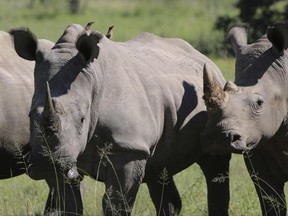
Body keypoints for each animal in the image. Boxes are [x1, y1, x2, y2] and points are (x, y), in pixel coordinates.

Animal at [11, 23, 231, 216]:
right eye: (29, 116)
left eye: (82, 119)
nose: (46, 165)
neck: (94, 80)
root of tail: (203, 57)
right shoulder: (68, 157)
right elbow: (69, 206)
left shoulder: (129, 149)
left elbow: (116, 204)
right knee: (160, 169)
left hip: (216, 99)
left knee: (215, 164)